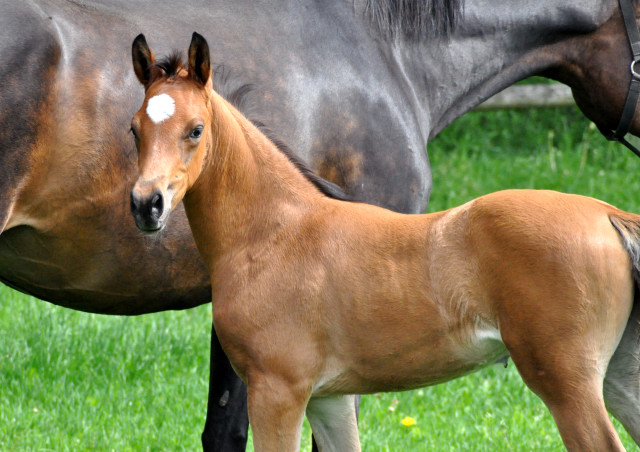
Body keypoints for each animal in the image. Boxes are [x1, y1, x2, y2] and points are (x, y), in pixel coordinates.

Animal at [129, 33, 640, 450]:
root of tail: (609, 215)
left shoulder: (277, 389)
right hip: (618, 376)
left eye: (195, 130)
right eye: (135, 129)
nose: (146, 205)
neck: (275, 233)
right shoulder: (328, 398)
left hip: (567, 382)